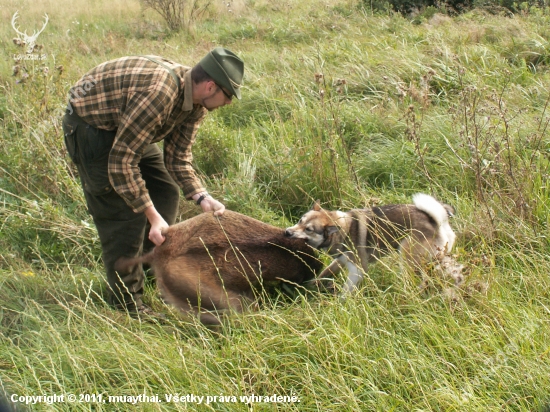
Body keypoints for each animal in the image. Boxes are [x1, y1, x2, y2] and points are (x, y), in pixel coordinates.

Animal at [284, 195, 458, 294]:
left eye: (308, 229)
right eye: (300, 221)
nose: (286, 232)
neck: (343, 229)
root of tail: (437, 220)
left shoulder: (358, 270)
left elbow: (346, 291)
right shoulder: (341, 261)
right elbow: (324, 273)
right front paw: (310, 285)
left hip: (407, 256)